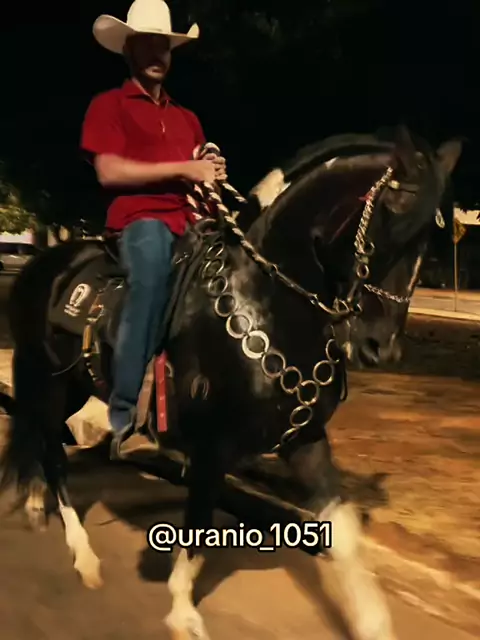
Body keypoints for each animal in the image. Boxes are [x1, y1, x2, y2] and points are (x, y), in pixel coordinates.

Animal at [0, 126, 461, 640]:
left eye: (432, 236)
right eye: (391, 213)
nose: (381, 346)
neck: (267, 299)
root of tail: (45, 263)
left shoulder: (305, 438)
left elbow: (342, 533)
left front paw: (373, 622)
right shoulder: (211, 443)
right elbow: (200, 522)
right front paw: (182, 610)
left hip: (69, 386)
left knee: (39, 435)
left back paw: (35, 504)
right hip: (48, 380)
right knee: (52, 450)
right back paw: (82, 554)